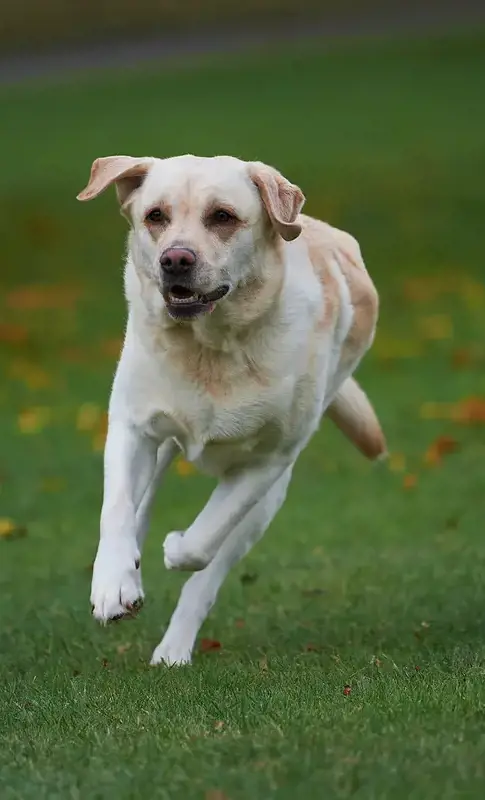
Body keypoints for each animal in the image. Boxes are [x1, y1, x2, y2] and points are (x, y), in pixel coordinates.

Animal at [76, 153, 386, 664]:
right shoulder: (132, 425)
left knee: (209, 571)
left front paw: (175, 546)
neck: (210, 348)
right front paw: (114, 585)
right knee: (142, 500)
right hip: (163, 442)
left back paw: (173, 649)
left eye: (222, 216)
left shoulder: (270, 462)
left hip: (268, 500)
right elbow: (117, 508)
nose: (175, 259)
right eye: (155, 216)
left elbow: (203, 541)